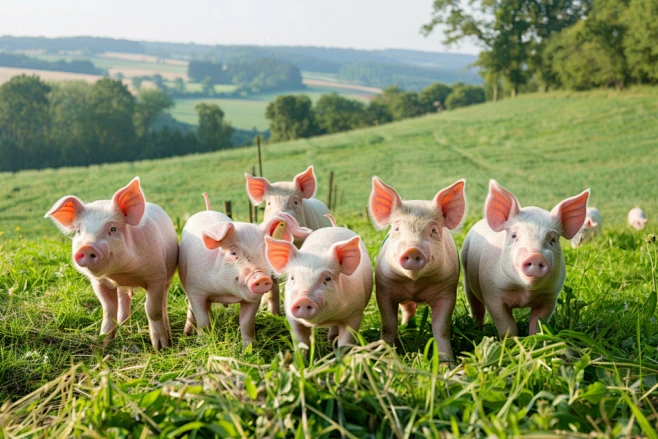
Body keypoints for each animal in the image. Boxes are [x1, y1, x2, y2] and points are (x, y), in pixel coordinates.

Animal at [45, 177, 178, 350]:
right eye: (79, 231)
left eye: (113, 229)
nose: (87, 247)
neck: (121, 273)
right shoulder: (99, 282)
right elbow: (108, 310)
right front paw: (101, 345)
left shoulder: (157, 276)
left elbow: (152, 309)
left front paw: (160, 348)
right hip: (123, 289)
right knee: (124, 299)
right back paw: (125, 328)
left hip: (168, 276)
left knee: (163, 302)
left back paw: (168, 334)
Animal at [178, 204, 311, 345]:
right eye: (232, 253)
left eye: (265, 252)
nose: (261, 277)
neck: (225, 294)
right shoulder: (196, 290)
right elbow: (202, 320)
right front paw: (203, 343)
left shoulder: (254, 300)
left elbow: (247, 323)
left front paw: (249, 347)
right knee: (191, 308)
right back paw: (186, 333)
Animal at [368, 177, 466, 362]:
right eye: (397, 229)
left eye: (433, 230)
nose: (412, 249)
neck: (415, 284)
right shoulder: (384, 288)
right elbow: (388, 325)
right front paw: (384, 357)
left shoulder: (447, 291)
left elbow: (441, 329)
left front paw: (448, 364)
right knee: (407, 308)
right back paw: (407, 327)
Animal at [461, 180, 589, 339]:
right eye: (514, 235)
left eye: (553, 239)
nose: (535, 256)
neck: (525, 292)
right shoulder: (493, 294)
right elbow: (507, 326)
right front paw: (511, 341)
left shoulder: (550, 296)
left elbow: (538, 324)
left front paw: (535, 339)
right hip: (467, 275)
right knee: (476, 308)